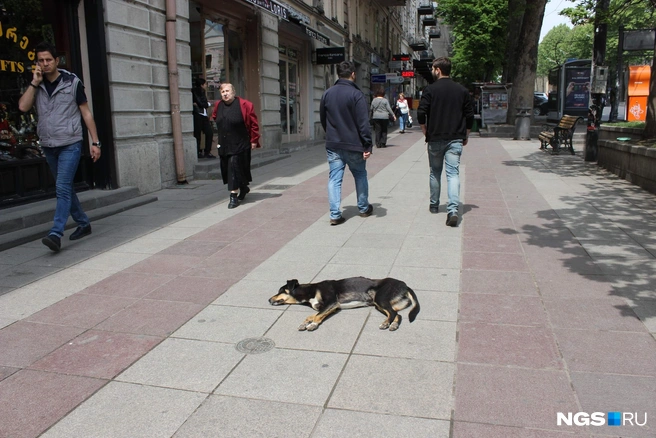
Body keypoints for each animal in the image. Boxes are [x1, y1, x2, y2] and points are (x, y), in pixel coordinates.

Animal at [270, 278, 420, 332]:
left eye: (280, 290)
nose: (268, 299)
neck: (310, 291)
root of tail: (405, 285)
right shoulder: (328, 308)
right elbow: (312, 315)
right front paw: (305, 323)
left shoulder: (331, 303)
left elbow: (317, 316)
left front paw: (312, 325)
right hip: (383, 303)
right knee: (397, 314)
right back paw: (393, 324)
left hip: (380, 298)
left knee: (393, 313)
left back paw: (386, 323)